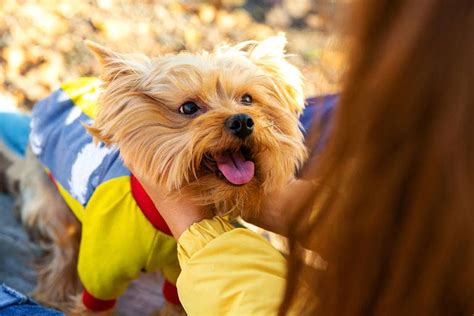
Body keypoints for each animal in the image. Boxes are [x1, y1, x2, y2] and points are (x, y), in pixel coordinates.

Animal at [12, 34, 308, 314]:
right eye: (188, 108)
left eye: (247, 99)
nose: (242, 121)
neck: (160, 224)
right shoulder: (101, 272)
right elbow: (93, 303)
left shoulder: (180, 269)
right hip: (50, 199)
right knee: (64, 246)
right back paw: (56, 291)